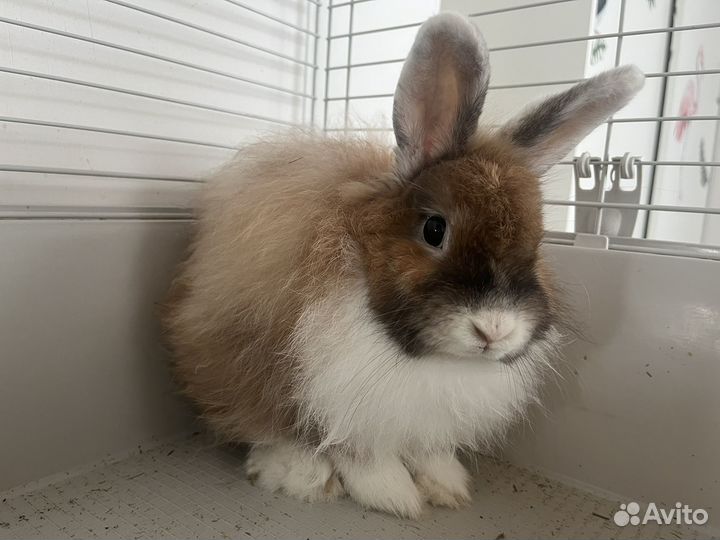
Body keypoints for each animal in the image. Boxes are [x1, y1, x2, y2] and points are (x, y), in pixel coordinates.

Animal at [162, 12, 644, 518]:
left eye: (538, 240)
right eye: (434, 229)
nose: (494, 330)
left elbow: (427, 448)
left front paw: (447, 485)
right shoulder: (342, 398)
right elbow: (360, 452)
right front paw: (394, 495)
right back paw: (302, 474)